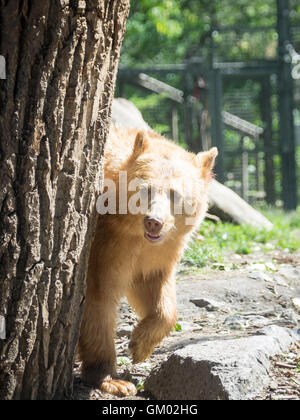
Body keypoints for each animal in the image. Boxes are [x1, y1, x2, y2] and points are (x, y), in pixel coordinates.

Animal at [78, 126, 217, 396]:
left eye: (175, 194)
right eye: (145, 189)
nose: (154, 222)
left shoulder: (157, 251)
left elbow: (154, 288)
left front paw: (140, 345)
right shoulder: (104, 244)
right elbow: (98, 296)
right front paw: (113, 379)